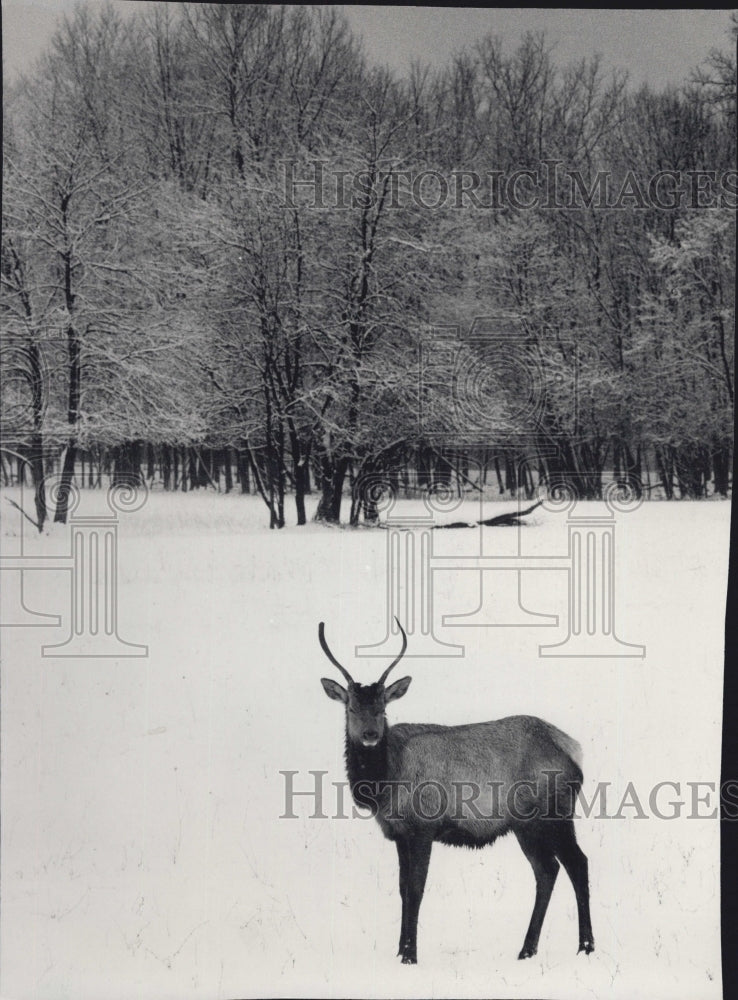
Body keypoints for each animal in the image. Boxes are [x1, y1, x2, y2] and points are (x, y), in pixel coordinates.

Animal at [319, 619, 594, 966]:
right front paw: (399, 950)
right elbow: (401, 889)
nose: (370, 735)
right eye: (352, 708)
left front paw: (411, 955)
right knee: (547, 870)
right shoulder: (398, 833)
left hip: (553, 816)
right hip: (526, 826)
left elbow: (416, 888)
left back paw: (585, 945)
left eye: (382, 708)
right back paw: (527, 949)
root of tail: (574, 750)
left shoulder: (423, 828)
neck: (387, 782)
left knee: (577, 862)